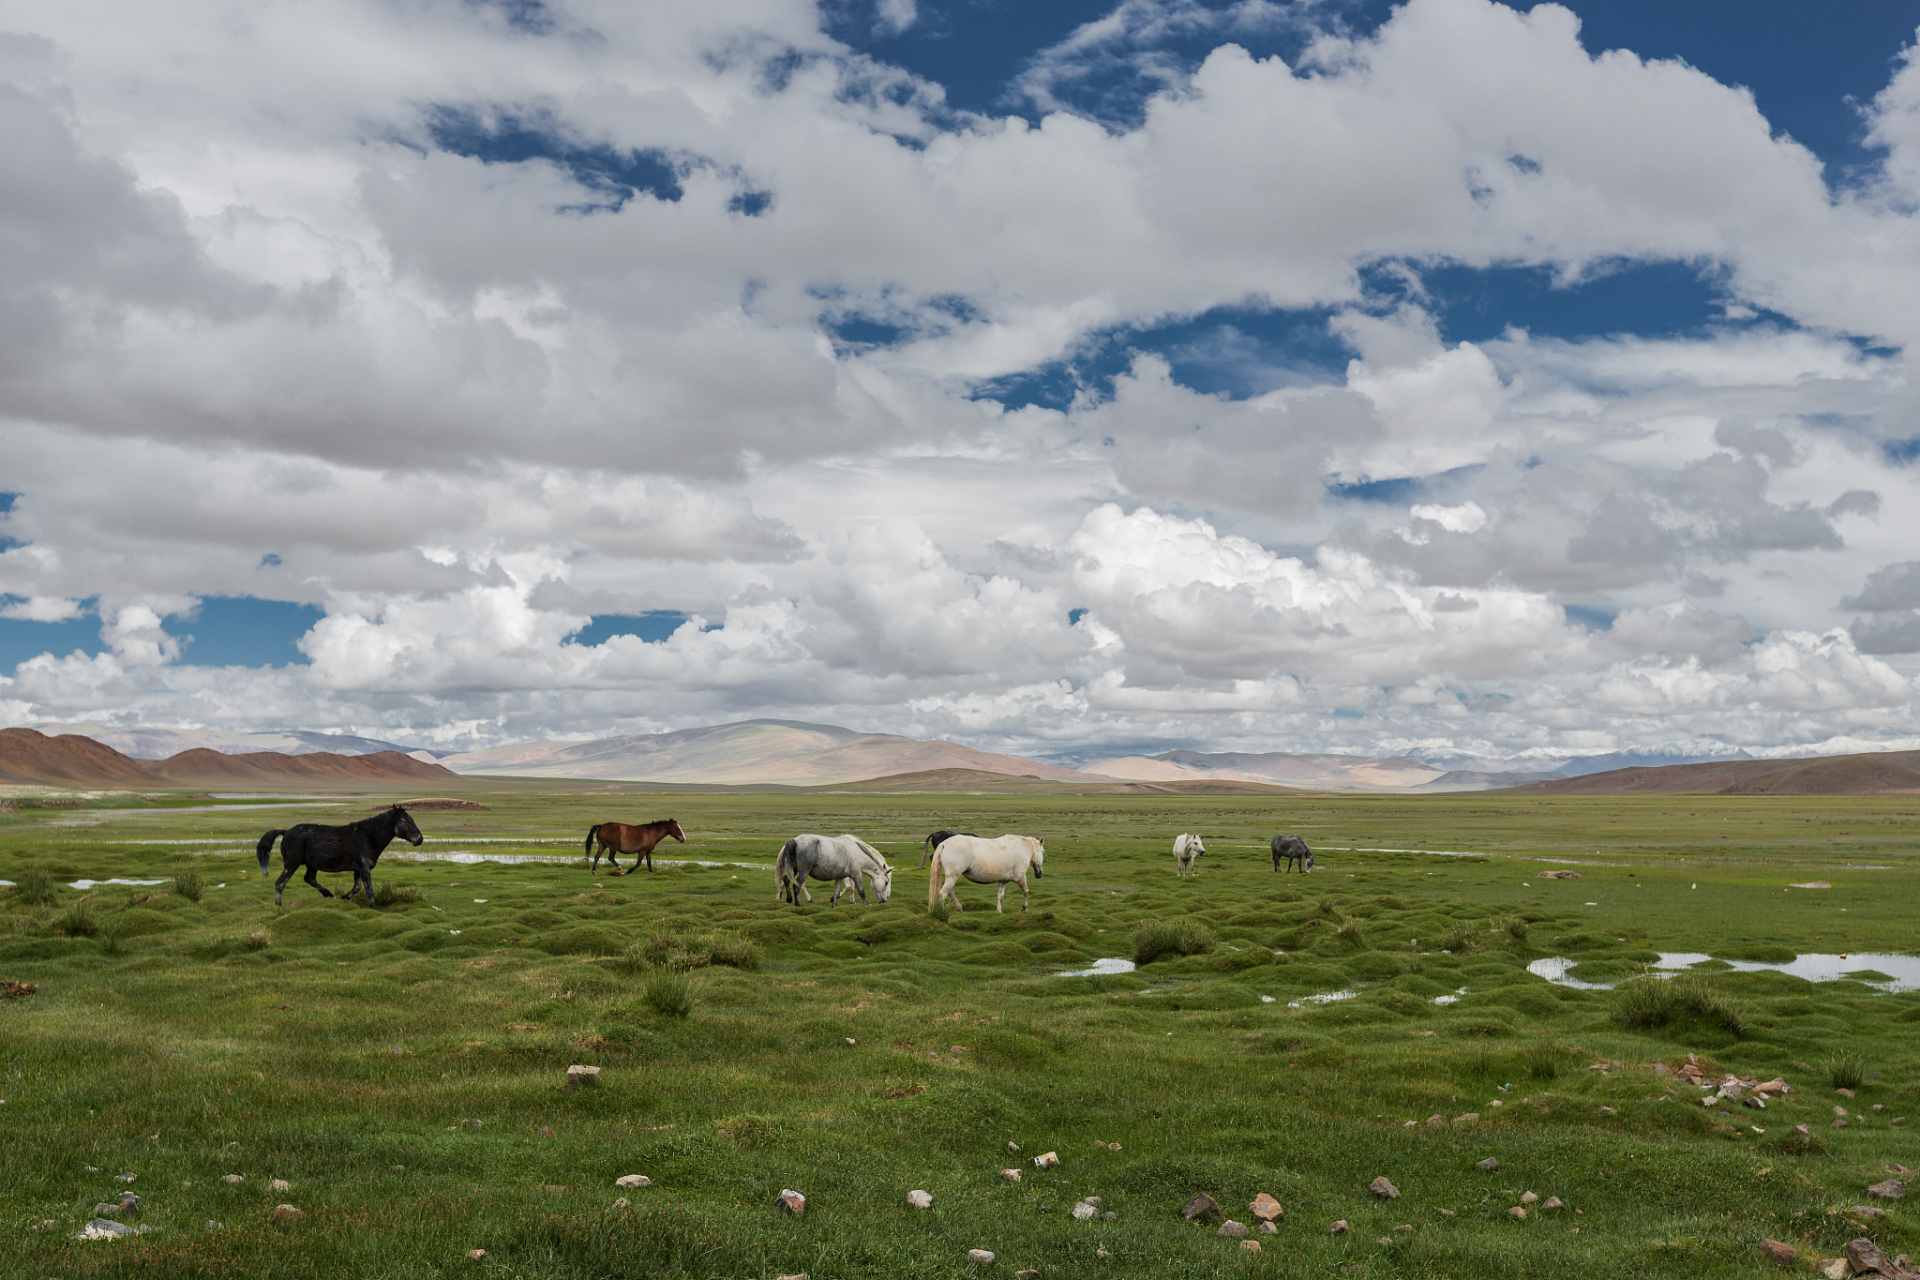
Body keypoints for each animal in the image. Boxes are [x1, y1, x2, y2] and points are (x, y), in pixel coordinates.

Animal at [257, 805, 422, 905]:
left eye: (412, 819)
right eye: (404, 821)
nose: (420, 839)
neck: (367, 837)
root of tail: (286, 832)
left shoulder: (358, 869)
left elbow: (357, 888)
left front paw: (344, 897)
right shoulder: (364, 868)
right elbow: (369, 890)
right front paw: (374, 909)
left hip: (312, 864)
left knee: (309, 878)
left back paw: (328, 894)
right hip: (291, 864)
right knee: (280, 883)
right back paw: (279, 907)